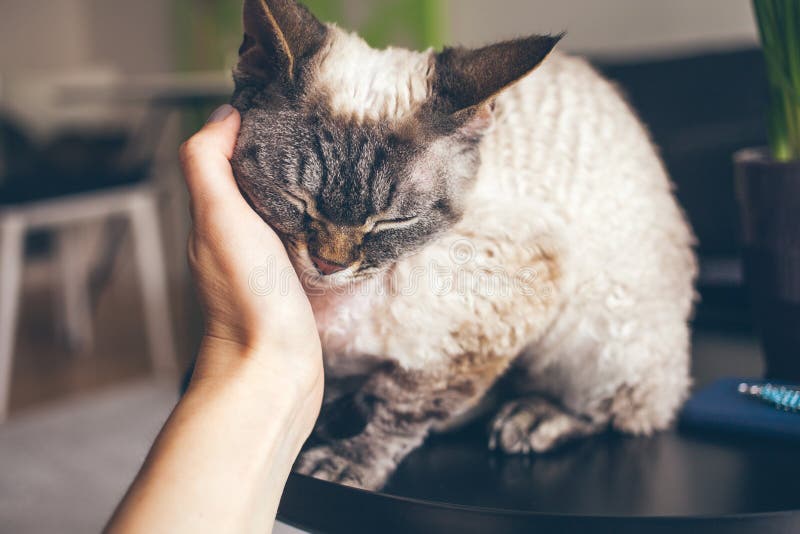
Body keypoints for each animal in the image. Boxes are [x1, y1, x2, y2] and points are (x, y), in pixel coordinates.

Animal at [230, 0, 692, 494]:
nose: (329, 263)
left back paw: (535, 419)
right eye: (297, 199)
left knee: (627, 410)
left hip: (600, 332)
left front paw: (349, 462)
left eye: (395, 221)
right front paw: (331, 420)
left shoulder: (491, 322)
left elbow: (404, 410)